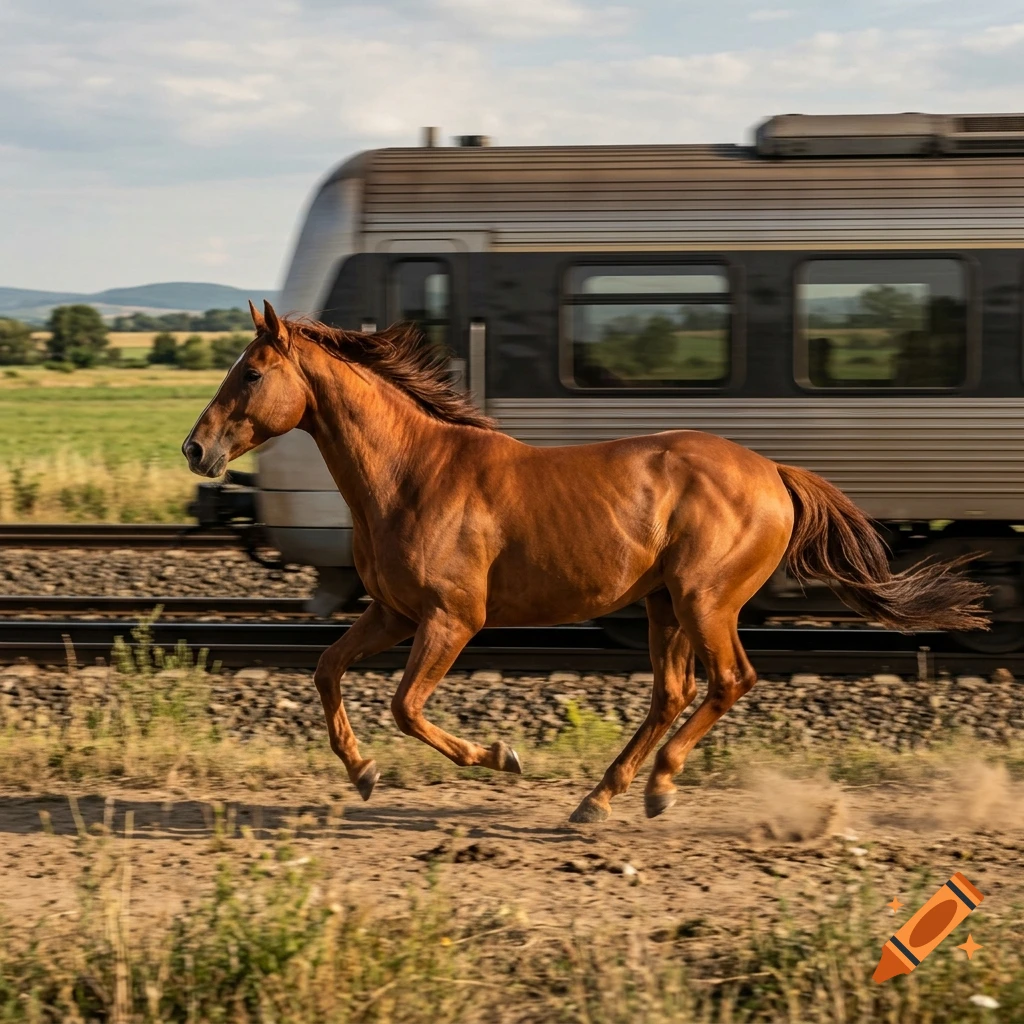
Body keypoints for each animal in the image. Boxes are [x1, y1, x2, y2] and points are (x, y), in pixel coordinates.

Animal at [183, 301, 988, 824]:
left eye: (252, 372)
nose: (196, 449)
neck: (413, 473)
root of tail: (774, 472)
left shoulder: (452, 619)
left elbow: (407, 706)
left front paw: (501, 755)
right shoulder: (392, 612)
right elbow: (326, 671)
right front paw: (363, 774)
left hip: (704, 600)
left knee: (729, 680)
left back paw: (657, 788)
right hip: (663, 604)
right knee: (671, 692)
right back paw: (601, 798)